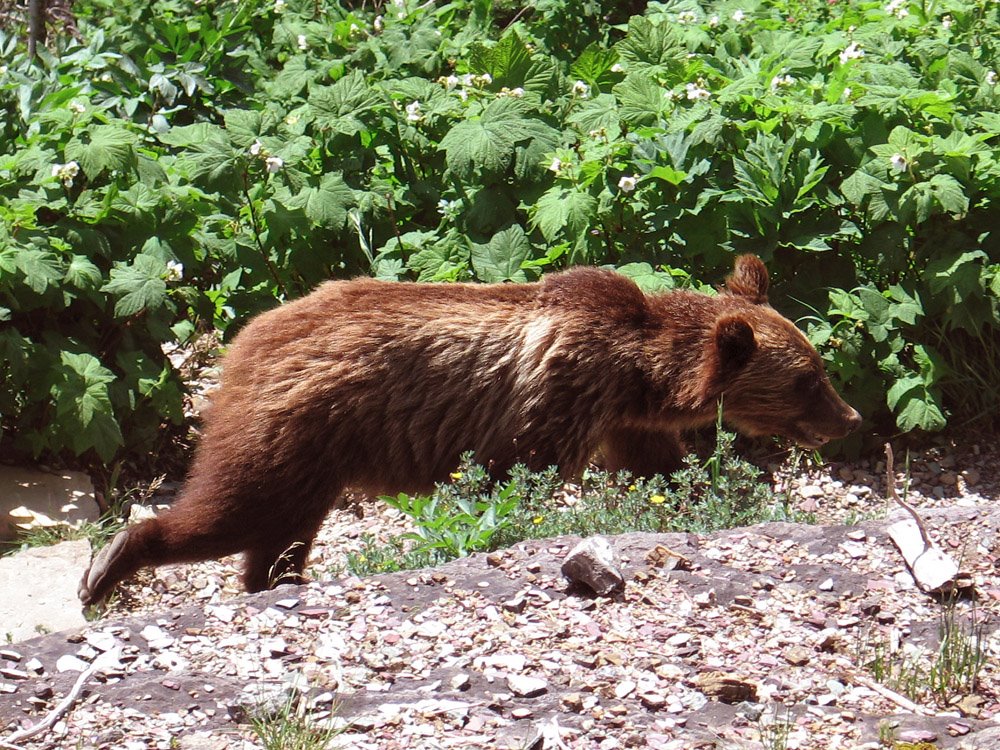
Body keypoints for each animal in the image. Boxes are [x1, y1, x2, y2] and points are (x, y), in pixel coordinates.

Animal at [78, 256, 860, 608]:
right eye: (810, 379)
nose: (849, 418)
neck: (635, 372)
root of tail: (246, 337)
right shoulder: (554, 399)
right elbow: (509, 478)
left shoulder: (623, 422)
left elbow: (660, 475)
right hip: (295, 425)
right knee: (238, 507)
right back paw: (109, 562)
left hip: (311, 456)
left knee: (277, 535)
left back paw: (275, 581)